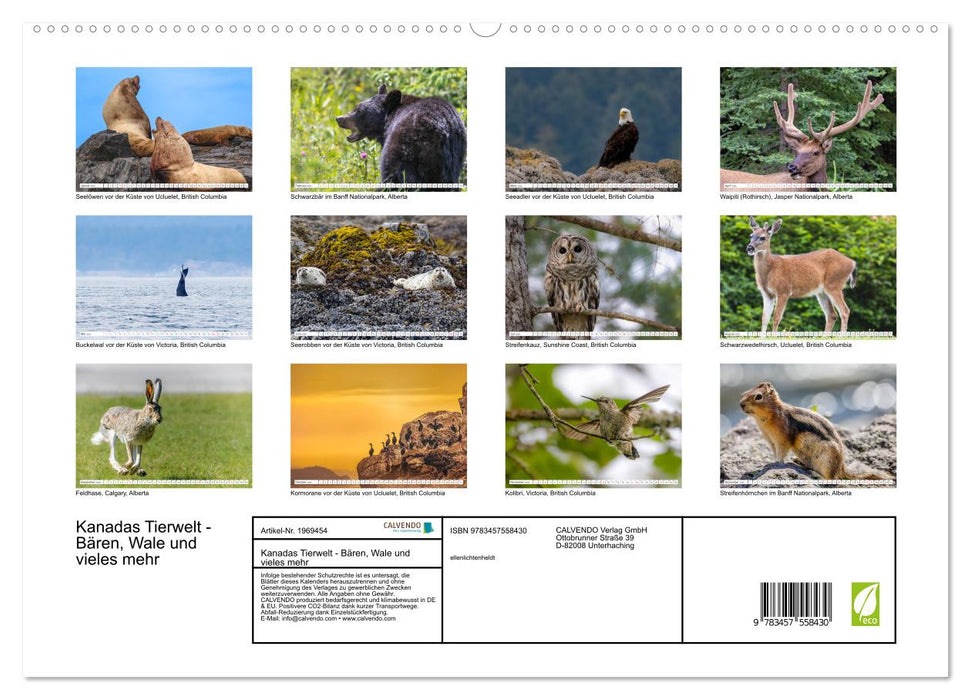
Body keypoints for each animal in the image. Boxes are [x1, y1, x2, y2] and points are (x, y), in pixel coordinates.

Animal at [336, 84, 466, 191]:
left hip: (405, 149)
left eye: (358, 110)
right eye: (355, 107)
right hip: (453, 159)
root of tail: (440, 128)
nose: (339, 118)